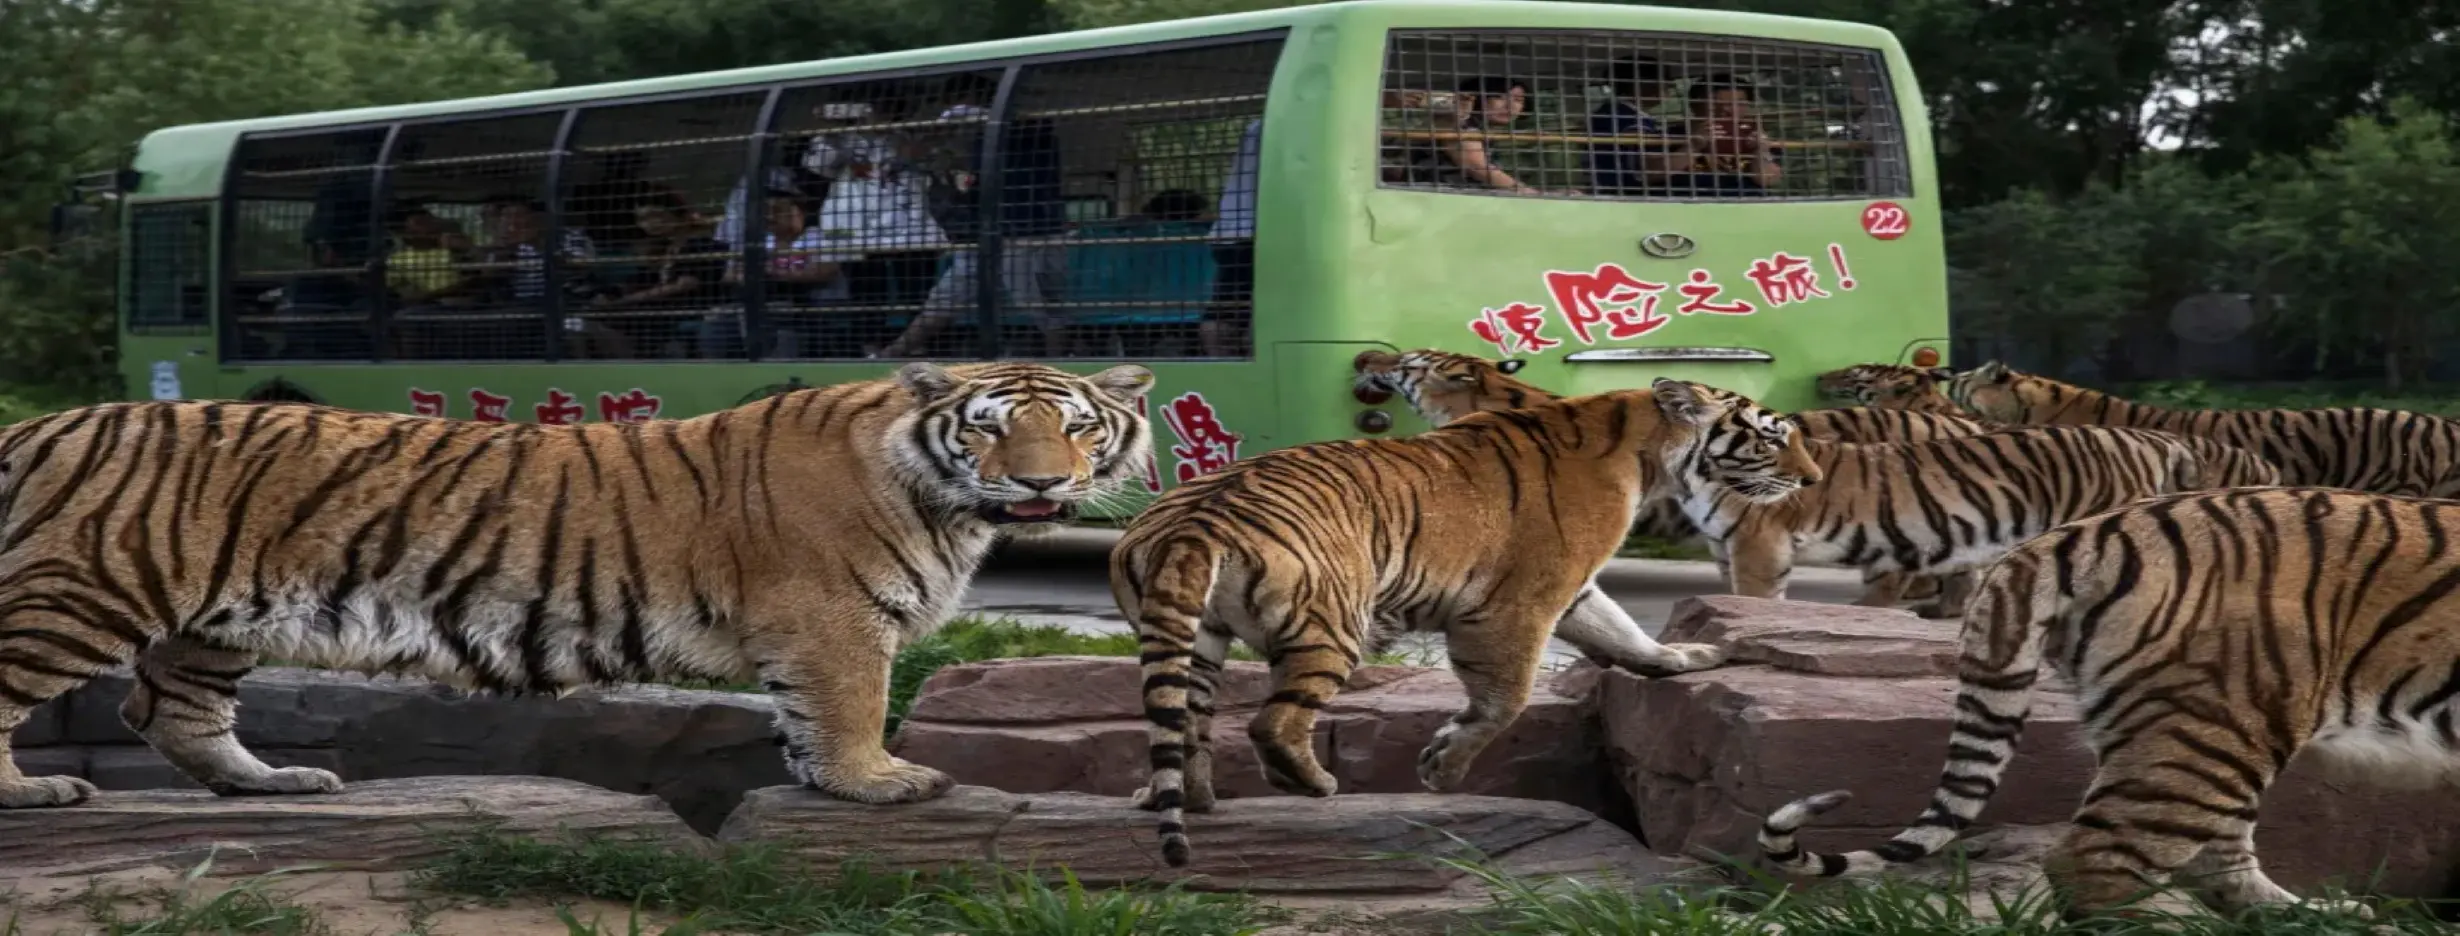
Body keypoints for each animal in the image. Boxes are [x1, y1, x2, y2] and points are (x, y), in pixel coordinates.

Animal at [0, 361, 1155, 809]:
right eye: (991, 429)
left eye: (1076, 427)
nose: (1043, 482)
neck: (950, 507)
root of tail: (41, 422)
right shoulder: (832, 621)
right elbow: (851, 707)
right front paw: (878, 781)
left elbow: (806, 719)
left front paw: (825, 780)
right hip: (82, 589)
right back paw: (34, 791)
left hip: (211, 619)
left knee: (173, 712)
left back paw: (274, 782)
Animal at [1112, 380, 1821, 867]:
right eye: (1771, 437)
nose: (1813, 479)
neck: (1647, 449)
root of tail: (1193, 522)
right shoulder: (1521, 602)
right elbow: (1505, 700)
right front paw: (1443, 769)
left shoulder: (1573, 592)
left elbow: (1621, 629)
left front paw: (1681, 658)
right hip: (1333, 624)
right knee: (1274, 722)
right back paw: (1312, 783)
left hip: (1193, 639)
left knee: (1186, 725)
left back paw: (1190, 799)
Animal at [1666, 385, 2280, 619]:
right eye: (1773, 439)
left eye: (1791, 439)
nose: (1809, 481)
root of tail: (2154, 438)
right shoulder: (1727, 549)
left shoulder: (1759, 547)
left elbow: (1754, 600)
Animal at [1757, 486, 2453, 920]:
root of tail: (2076, 532)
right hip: (2216, 728)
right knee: (2096, 864)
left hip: (2197, 726)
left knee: (2216, 861)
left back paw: (2318, 916)